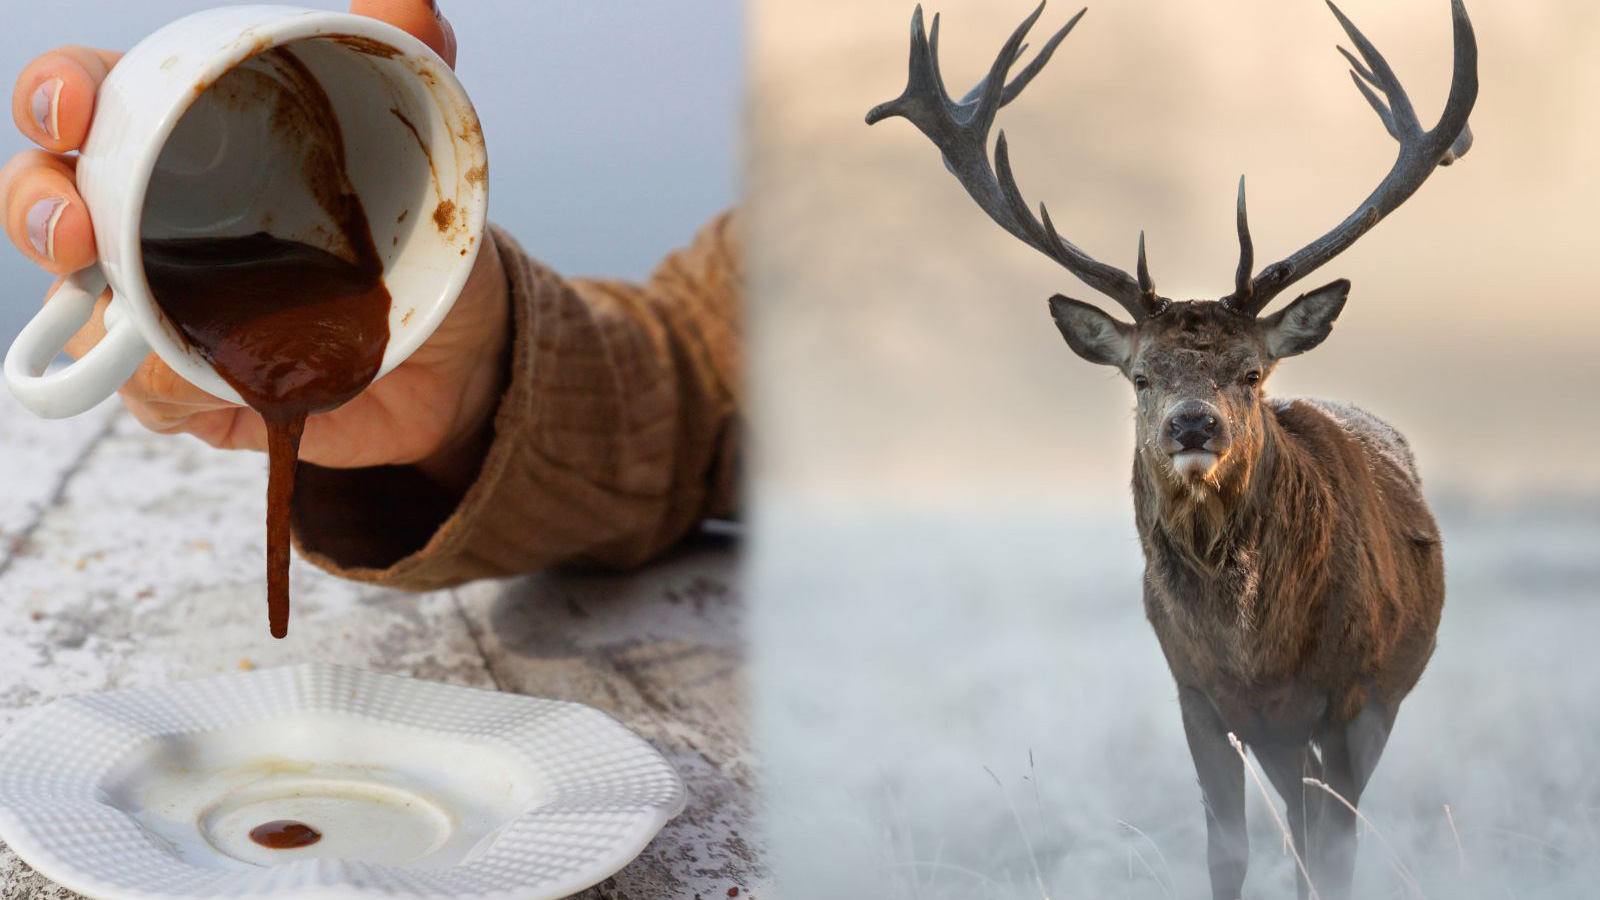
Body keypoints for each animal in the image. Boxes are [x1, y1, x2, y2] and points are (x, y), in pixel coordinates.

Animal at [870, 1, 1478, 896]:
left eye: (1252, 371)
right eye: (1141, 374)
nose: (1194, 426)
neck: (1257, 652)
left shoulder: (1355, 693)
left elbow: (1335, 852)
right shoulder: (1195, 694)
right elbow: (1228, 848)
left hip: (1372, 701)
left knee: (1321, 835)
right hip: (1276, 736)